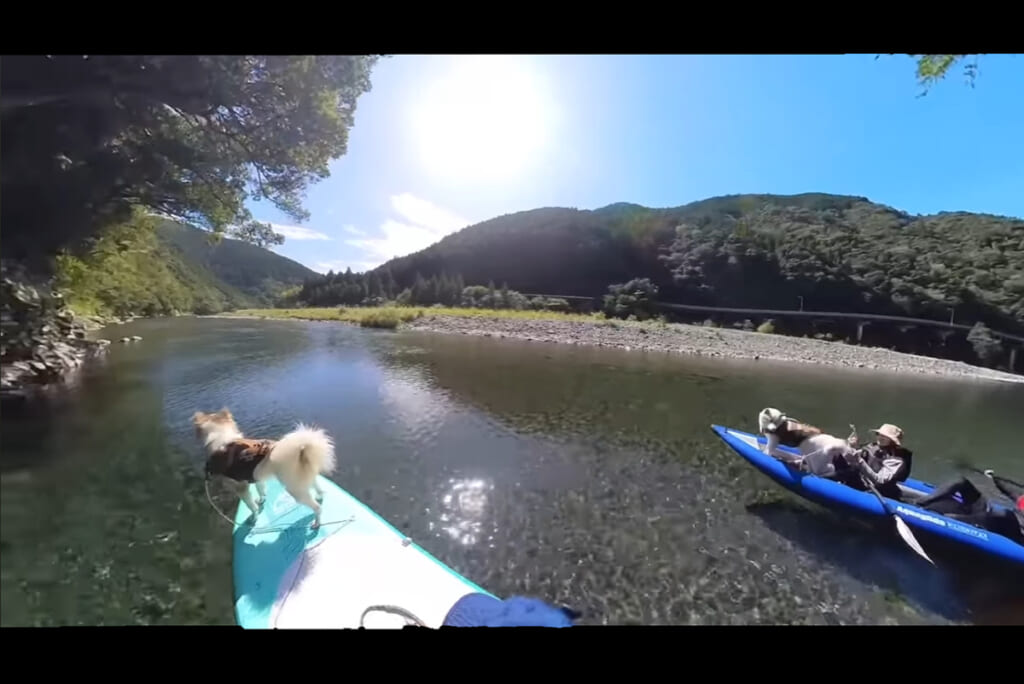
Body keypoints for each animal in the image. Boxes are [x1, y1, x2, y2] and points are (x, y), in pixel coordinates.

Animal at [192, 405, 335, 528]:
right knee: (317, 487)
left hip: (294, 489)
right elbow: (261, 491)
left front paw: (254, 517)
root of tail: (302, 448)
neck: (222, 438)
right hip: (305, 477)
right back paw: (319, 496)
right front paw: (261, 500)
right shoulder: (256, 477)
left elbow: (251, 506)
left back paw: (317, 523)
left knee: (317, 508)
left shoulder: (241, 488)